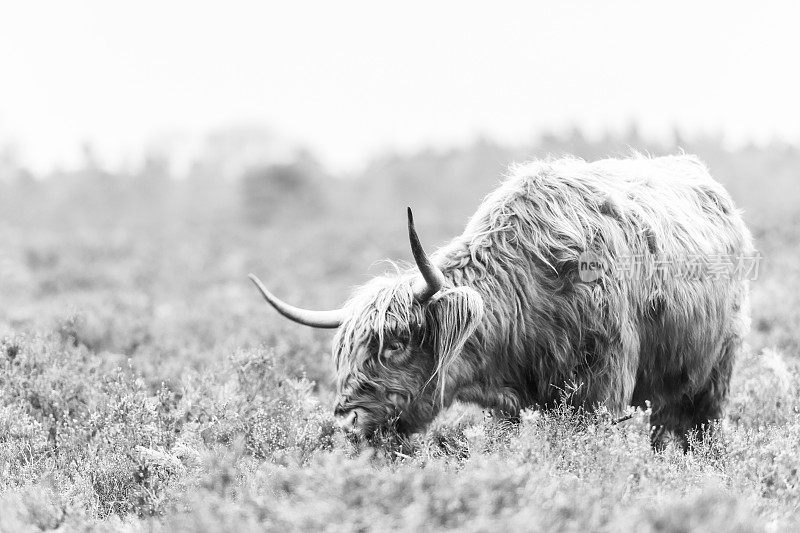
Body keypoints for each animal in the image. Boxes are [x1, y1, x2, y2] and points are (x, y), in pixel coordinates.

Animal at [250, 155, 756, 448]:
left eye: (395, 343)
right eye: (344, 353)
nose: (346, 423)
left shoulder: (603, 389)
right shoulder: (511, 409)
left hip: (712, 375)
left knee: (694, 427)